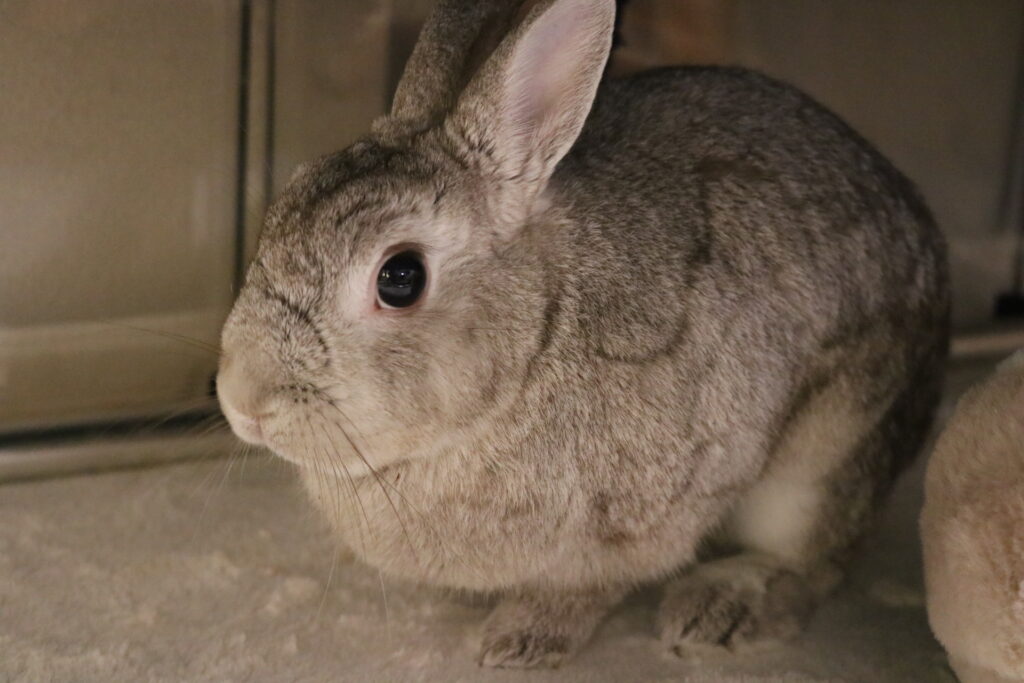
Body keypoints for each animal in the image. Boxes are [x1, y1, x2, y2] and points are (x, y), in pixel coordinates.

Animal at [215, 0, 949, 668]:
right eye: (282, 208)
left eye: (400, 278)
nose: (241, 400)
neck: (536, 345)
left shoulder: (653, 507)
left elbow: (588, 587)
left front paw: (519, 641)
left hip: (824, 458)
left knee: (812, 563)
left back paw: (715, 609)